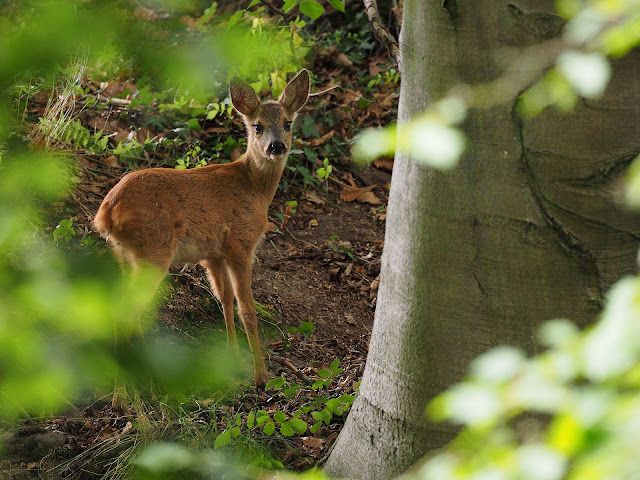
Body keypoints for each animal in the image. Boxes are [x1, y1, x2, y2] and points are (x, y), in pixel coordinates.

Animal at [94, 70, 312, 386]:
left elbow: (225, 300)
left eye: (288, 123)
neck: (254, 188)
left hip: (122, 253)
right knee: (127, 307)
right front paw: (261, 377)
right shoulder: (239, 243)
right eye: (257, 126)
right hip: (154, 250)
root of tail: (106, 212)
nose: (276, 146)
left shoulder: (213, 253)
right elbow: (247, 309)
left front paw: (232, 359)